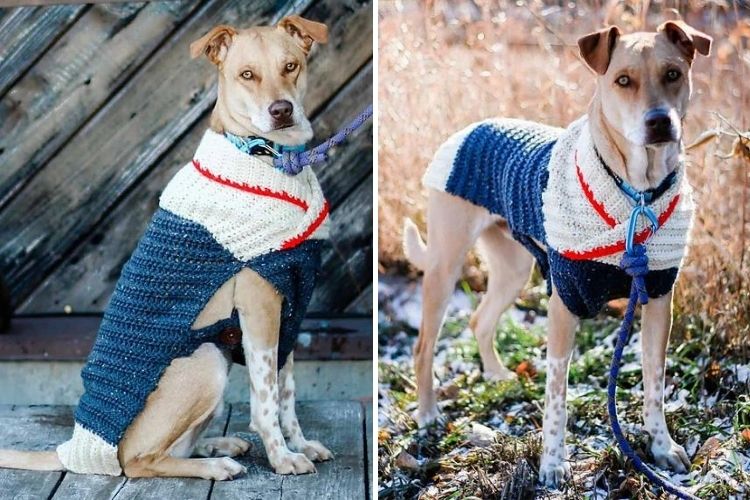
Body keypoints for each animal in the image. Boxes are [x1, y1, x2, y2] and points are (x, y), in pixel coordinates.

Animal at [0, 14, 332, 480]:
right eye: (247, 75)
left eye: (291, 66)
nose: (281, 111)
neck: (273, 161)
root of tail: (78, 448)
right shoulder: (260, 302)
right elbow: (266, 400)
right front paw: (282, 457)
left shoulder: (289, 307)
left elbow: (286, 392)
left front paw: (300, 445)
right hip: (207, 360)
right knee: (138, 461)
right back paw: (216, 465)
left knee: (176, 448)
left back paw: (217, 446)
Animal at [402, 21, 712, 486]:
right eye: (623, 80)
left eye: (673, 74)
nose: (659, 122)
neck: (636, 193)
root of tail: (469, 128)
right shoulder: (564, 303)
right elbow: (556, 399)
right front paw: (551, 465)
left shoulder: (658, 297)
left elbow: (655, 384)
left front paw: (661, 447)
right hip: (445, 264)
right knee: (424, 346)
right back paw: (427, 414)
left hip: (513, 268)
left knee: (479, 319)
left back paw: (497, 375)